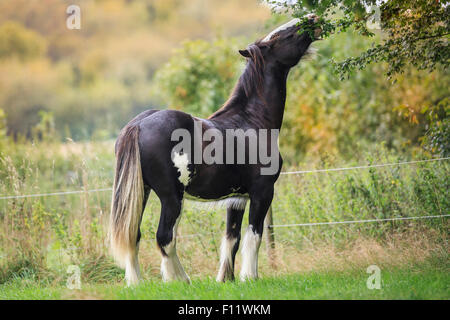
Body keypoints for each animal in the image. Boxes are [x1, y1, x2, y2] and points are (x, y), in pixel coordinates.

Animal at [109, 15, 320, 284]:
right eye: (278, 37)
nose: (313, 18)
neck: (251, 121)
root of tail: (138, 125)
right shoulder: (262, 192)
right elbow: (254, 236)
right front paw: (250, 277)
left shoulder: (237, 198)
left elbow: (232, 239)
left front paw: (226, 279)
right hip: (171, 197)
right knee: (165, 238)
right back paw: (181, 280)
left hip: (142, 192)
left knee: (133, 236)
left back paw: (137, 283)